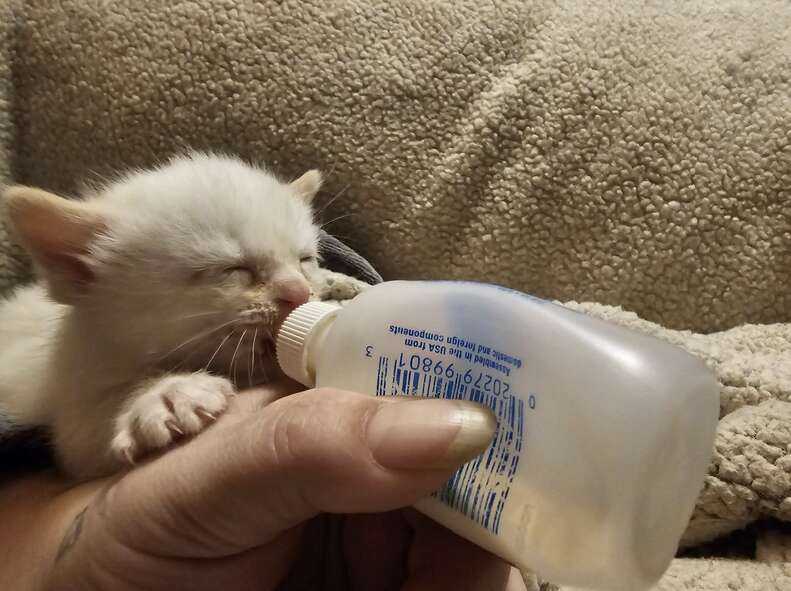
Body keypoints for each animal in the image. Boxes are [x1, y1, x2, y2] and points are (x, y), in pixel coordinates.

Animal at [0, 153, 366, 480]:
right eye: (233, 269)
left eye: (305, 260)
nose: (299, 292)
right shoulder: (70, 407)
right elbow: (82, 434)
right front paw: (163, 393)